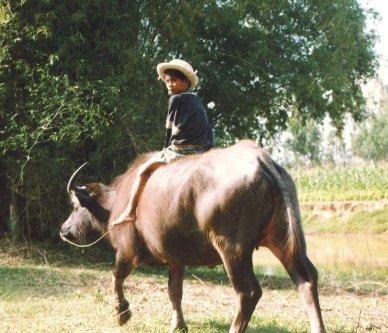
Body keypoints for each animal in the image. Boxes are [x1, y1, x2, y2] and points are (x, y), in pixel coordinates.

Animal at [59, 139, 324, 330]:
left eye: (77, 206)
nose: (64, 229)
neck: (115, 205)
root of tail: (261, 160)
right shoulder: (176, 258)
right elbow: (174, 291)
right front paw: (178, 325)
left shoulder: (127, 250)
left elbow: (116, 276)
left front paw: (121, 313)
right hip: (283, 238)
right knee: (307, 279)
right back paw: (317, 327)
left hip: (233, 249)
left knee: (248, 292)